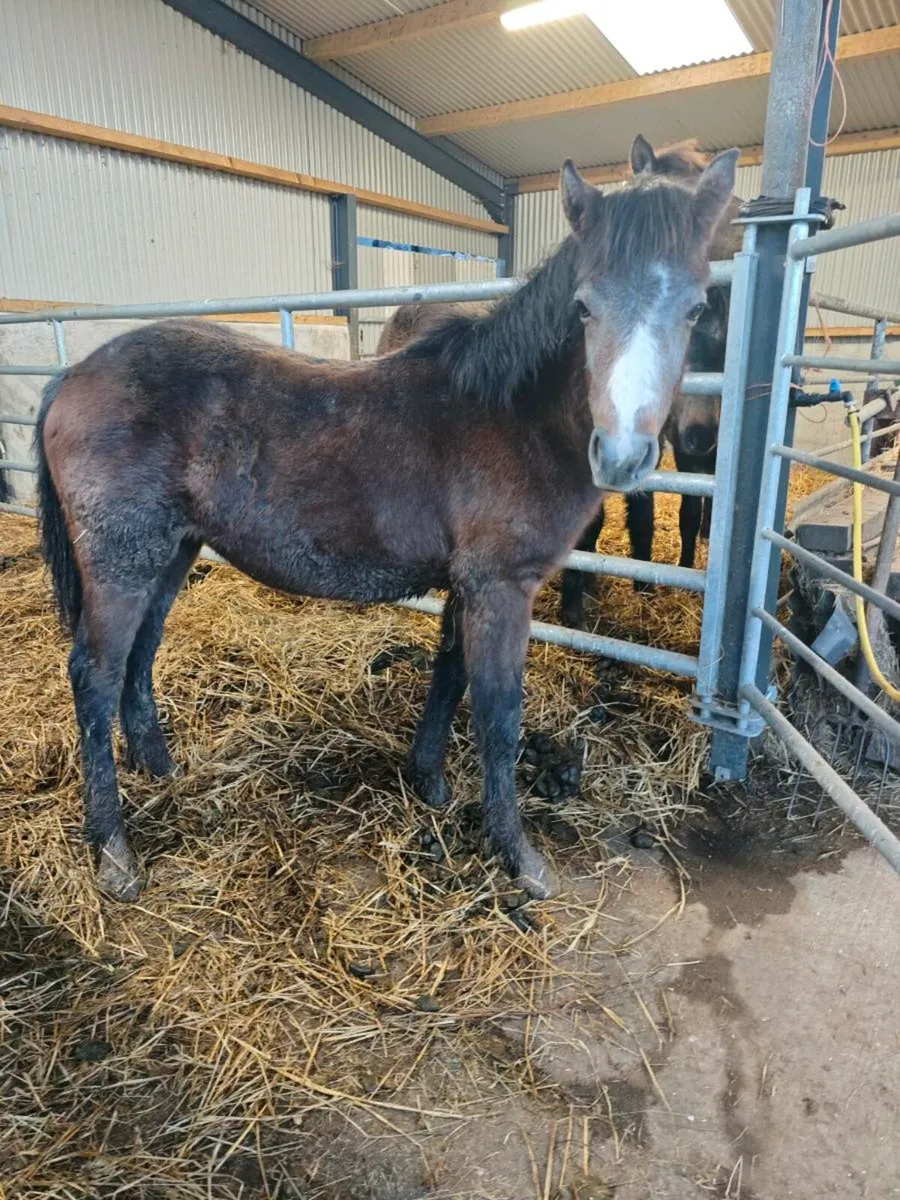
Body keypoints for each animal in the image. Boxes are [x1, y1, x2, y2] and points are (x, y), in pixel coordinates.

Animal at [35, 140, 737, 903]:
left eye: (696, 309)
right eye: (583, 307)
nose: (623, 454)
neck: (510, 413)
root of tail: (73, 376)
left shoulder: (468, 584)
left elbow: (449, 676)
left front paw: (428, 780)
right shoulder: (501, 588)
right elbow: (498, 714)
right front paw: (518, 856)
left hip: (171, 553)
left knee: (139, 657)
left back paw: (160, 768)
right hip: (122, 561)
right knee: (95, 674)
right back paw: (113, 850)